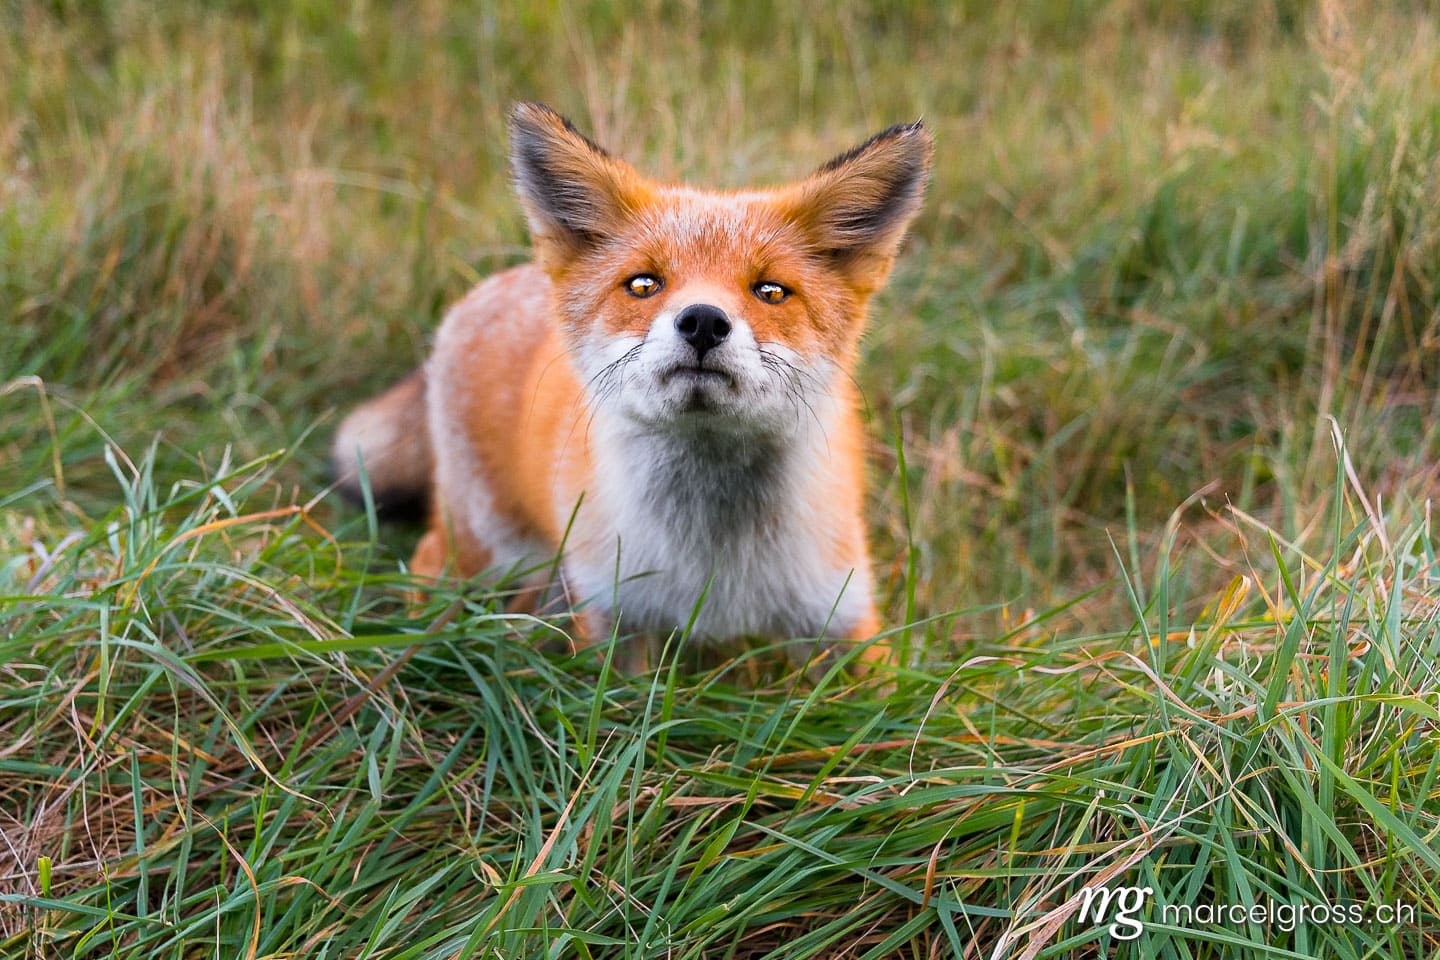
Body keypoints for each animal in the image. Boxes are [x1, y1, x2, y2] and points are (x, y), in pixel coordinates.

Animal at [332, 102, 932, 670]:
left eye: (771, 291)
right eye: (644, 284)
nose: (703, 321)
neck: (713, 564)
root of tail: (489, 287)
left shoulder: (843, 613)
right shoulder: (612, 614)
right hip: (486, 543)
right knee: (430, 560)